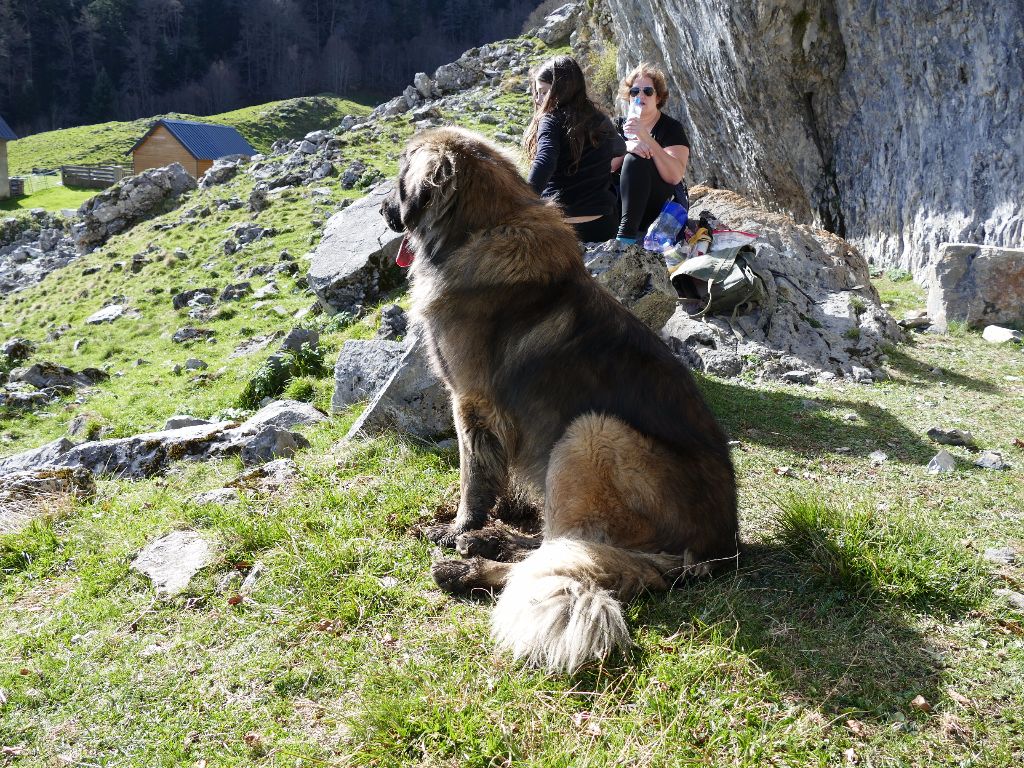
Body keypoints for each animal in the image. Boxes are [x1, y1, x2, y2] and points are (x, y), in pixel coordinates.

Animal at [380, 128, 741, 671]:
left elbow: (473, 477)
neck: (485, 225)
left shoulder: (470, 401)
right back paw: (495, 541)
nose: (384, 211)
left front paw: (457, 525)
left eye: (400, 178)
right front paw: (483, 521)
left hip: (591, 433)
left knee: (561, 553)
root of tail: (720, 550)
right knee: (557, 544)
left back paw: (469, 564)